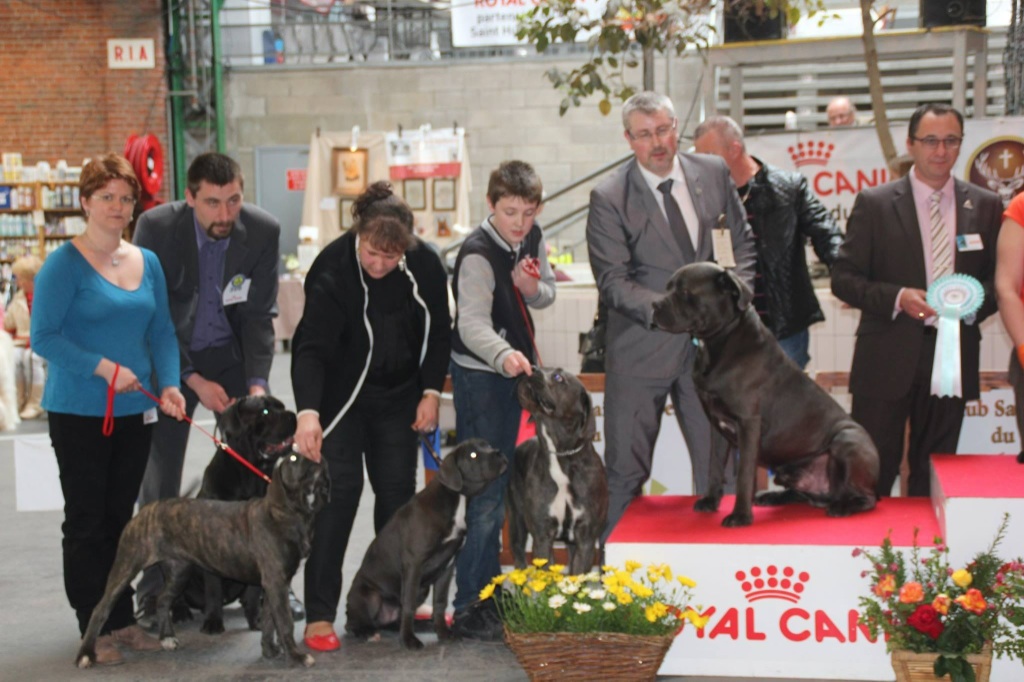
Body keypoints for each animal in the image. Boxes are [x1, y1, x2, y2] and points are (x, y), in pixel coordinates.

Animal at [77, 448, 329, 667]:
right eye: (294, 457)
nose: (316, 455)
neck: (290, 512)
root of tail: (146, 509)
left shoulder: (274, 584)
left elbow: (269, 621)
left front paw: (270, 650)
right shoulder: (276, 582)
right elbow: (284, 622)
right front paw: (297, 657)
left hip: (180, 572)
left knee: (163, 599)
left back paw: (167, 638)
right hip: (126, 567)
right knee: (100, 609)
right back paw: (86, 654)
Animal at [192, 393, 299, 630]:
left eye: (282, 406)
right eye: (265, 412)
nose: (293, 415)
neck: (250, 477)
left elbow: (253, 590)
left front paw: (255, 618)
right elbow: (213, 586)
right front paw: (213, 621)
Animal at [505, 366, 602, 573]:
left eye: (558, 377)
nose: (532, 368)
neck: (560, 455)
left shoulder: (585, 539)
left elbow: (577, 576)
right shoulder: (542, 535)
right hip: (517, 522)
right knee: (519, 558)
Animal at [651, 261, 876, 524]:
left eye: (686, 292)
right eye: (668, 288)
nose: (654, 305)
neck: (719, 342)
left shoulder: (748, 422)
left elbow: (744, 474)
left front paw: (740, 516)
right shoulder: (716, 425)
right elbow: (715, 466)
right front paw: (711, 500)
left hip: (847, 439)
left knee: (867, 498)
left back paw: (843, 507)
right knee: (804, 494)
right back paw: (773, 497)